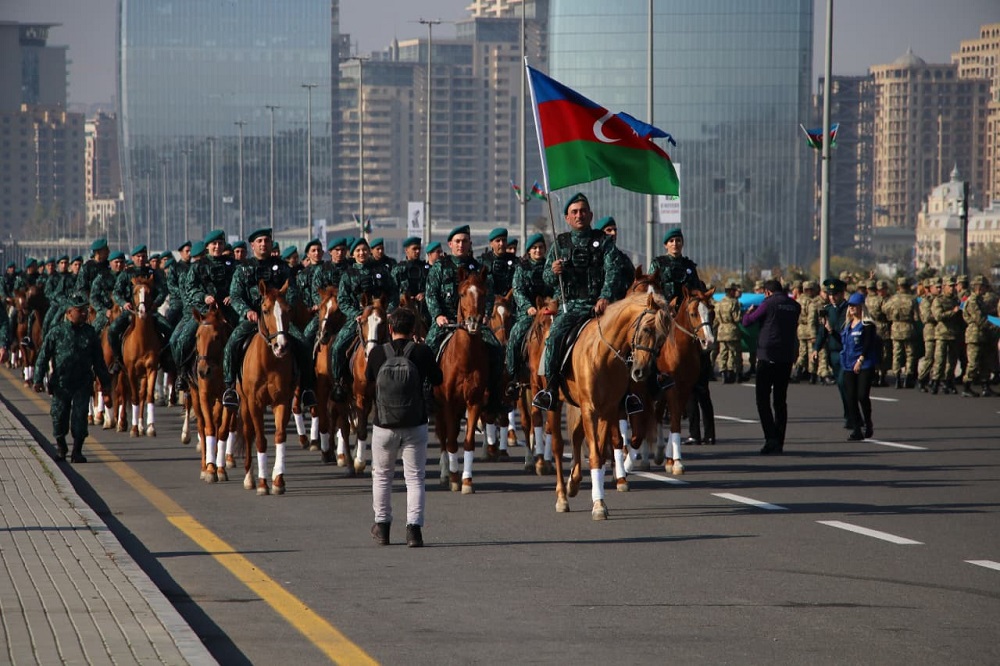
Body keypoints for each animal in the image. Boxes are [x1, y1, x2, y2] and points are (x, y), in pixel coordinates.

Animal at [238, 280, 296, 492]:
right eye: (265, 310)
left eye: (288, 309)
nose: (281, 346)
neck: (270, 362)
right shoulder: (254, 403)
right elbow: (261, 440)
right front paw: (263, 483)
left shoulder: (283, 401)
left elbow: (280, 436)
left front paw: (278, 479)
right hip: (244, 404)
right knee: (248, 433)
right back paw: (249, 477)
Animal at [544, 292, 668, 520]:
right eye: (647, 329)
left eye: (663, 338)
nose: (641, 372)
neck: (603, 354)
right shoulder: (590, 409)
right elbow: (594, 454)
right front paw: (599, 504)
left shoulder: (607, 410)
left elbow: (600, 453)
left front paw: (597, 498)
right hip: (555, 406)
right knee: (557, 446)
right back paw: (562, 497)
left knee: (576, 437)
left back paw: (573, 483)